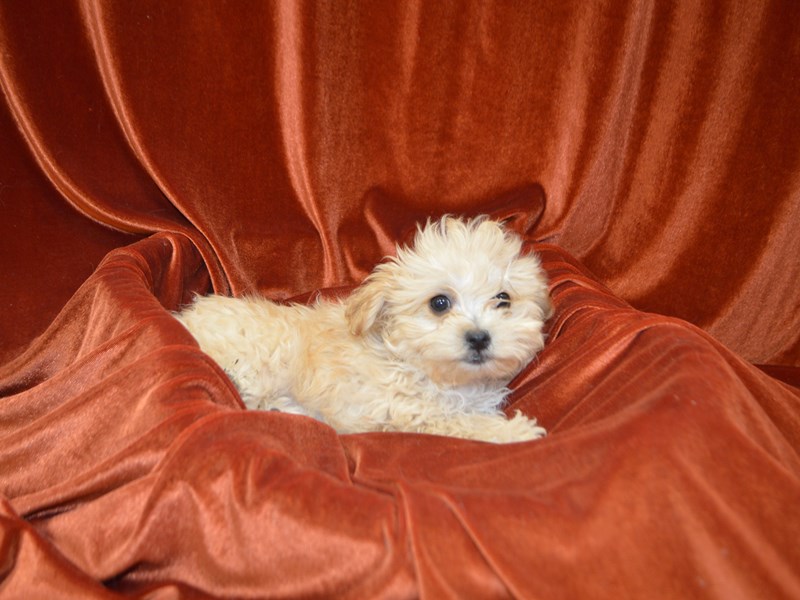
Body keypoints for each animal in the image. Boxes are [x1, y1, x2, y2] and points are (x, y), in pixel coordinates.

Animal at [175, 218, 552, 442]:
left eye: (503, 299)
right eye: (439, 303)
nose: (478, 337)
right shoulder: (403, 410)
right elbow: (457, 422)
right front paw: (515, 432)